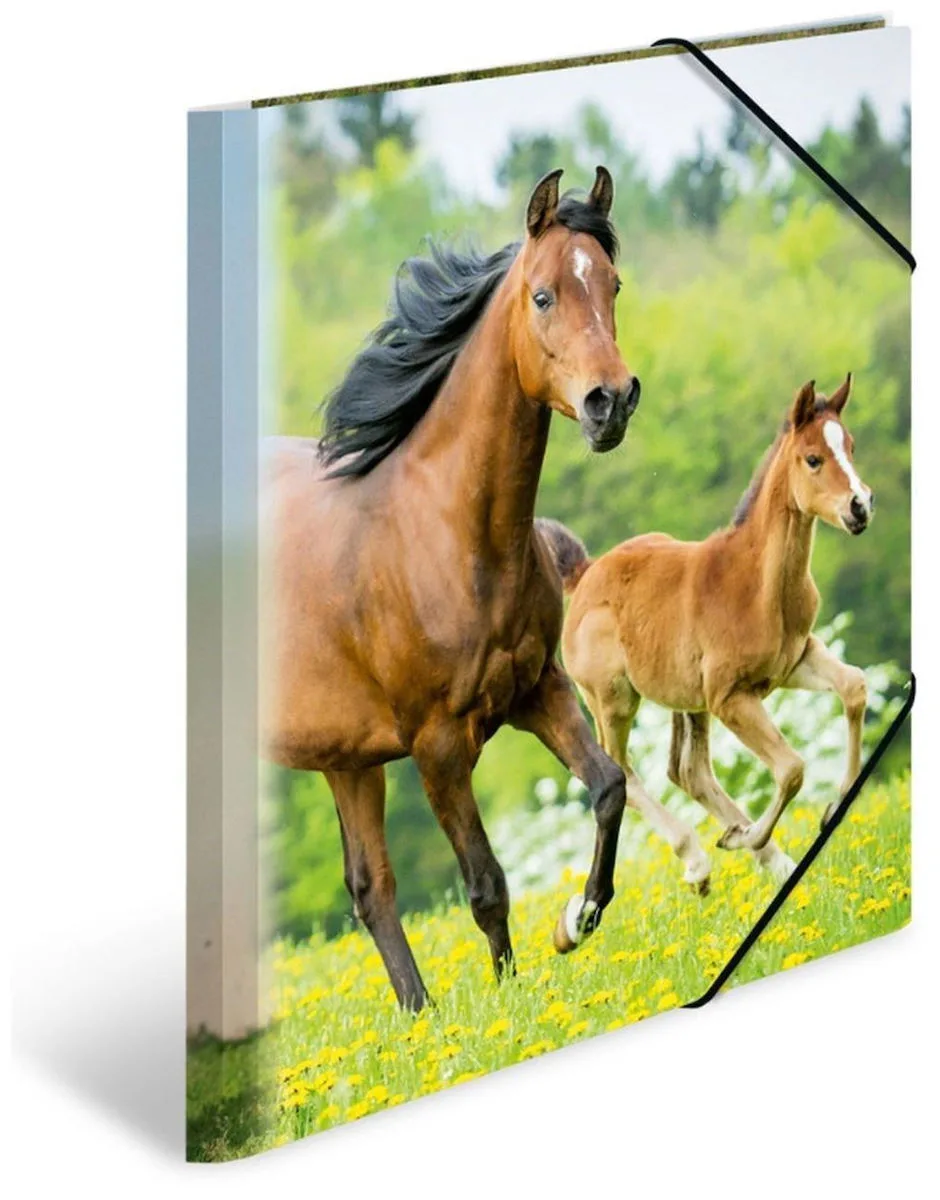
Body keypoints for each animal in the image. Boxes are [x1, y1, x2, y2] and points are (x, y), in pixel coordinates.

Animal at [261, 167, 643, 1010]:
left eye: (612, 284)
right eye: (543, 295)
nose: (611, 402)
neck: (444, 536)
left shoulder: (538, 688)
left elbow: (608, 786)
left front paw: (577, 920)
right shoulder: (438, 746)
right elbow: (486, 883)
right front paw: (509, 1000)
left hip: (345, 758)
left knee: (370, 887)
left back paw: (420, 1016)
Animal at [537, 374, 873, 896]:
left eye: (851, 447)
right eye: (814, 458)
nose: (861, 507)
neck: (759, 584)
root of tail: (586, 574)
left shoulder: (795, 660)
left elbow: (854, 687)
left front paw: (833, 806)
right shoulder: (729, 696)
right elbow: (792, 768)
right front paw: (749, 834)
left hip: (684, 699)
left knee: (686, 770)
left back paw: (768, 857)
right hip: (613, 700)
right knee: (621, 772)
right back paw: (700, 860)